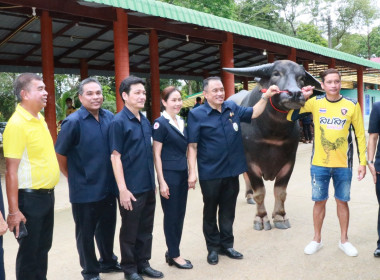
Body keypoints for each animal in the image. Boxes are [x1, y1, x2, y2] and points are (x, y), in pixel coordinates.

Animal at [224, 60, 322, 231]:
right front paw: (261, 218)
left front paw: (280, 217)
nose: (295, 93)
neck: (273, 132)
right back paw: (249, 195)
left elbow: (280, 191)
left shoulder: (289, 162)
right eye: (276, 73)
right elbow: (260, 192)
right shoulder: (250, 162)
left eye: (302, 78)